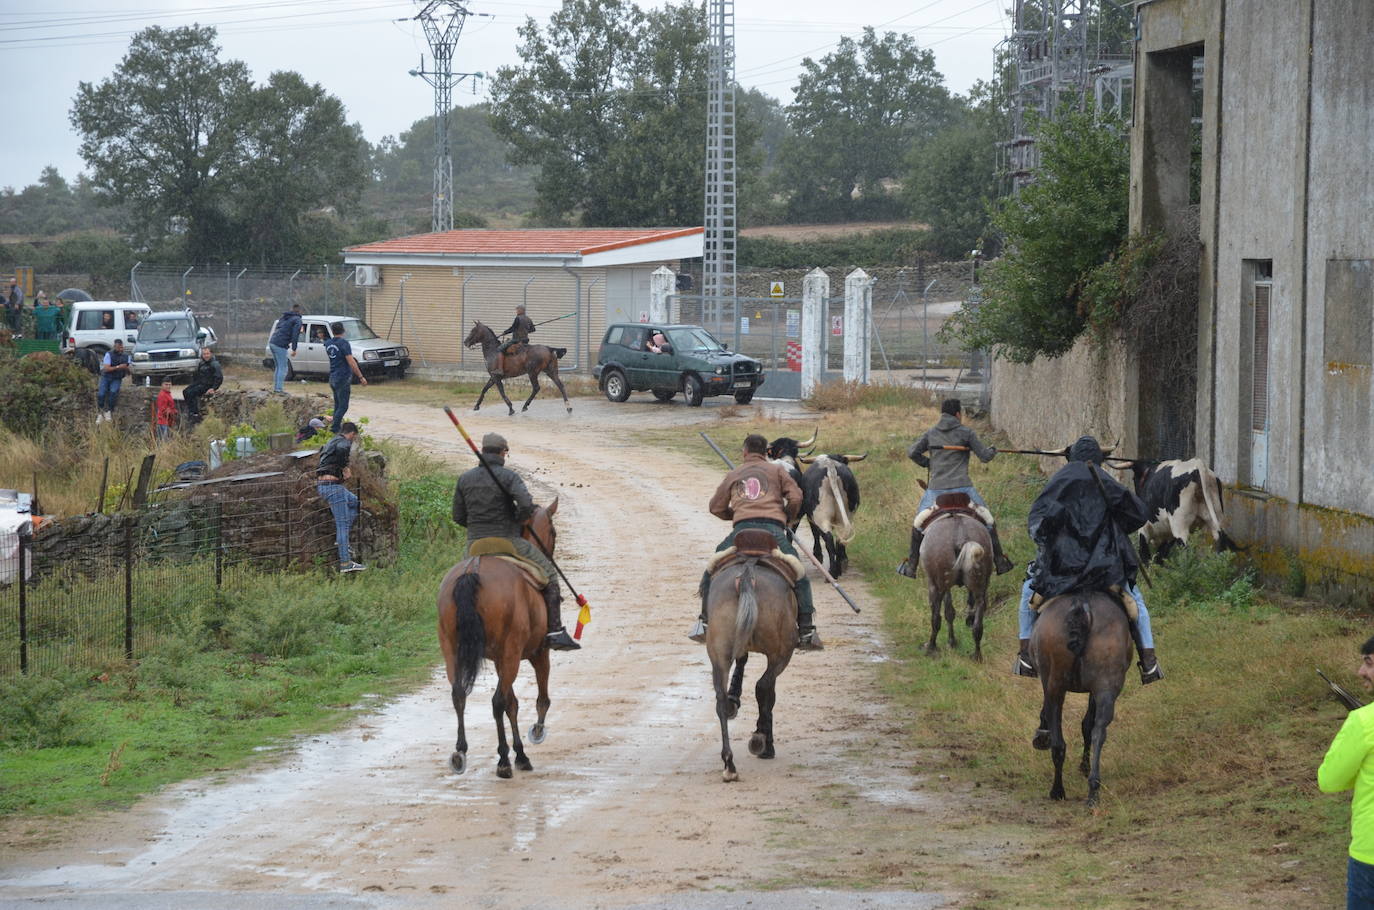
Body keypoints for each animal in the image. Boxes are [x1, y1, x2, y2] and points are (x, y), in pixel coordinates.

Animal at [431, 494, 555, 780]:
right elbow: (539, 698)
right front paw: (533, 737)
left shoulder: (502, 658)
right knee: (497, 701)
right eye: (553, 531)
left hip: (451, 648)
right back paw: (504, 761)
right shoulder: (536, 652)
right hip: (511, 653)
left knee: (459, 694)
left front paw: (519, 751)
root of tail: (471, 572)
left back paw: (460, 753)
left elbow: (513, 703)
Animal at [708, 555, 796, 786]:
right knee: (762, 686)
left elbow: (742, 660)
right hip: (781, 653)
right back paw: (760, 741)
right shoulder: (777, 657)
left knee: (720, 699)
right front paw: (766, 742)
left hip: (719, 654)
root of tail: (747, 576)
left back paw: (729, 765)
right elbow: (769, 694)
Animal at [917, 508, 994, 659]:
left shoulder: (941, 586)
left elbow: (947, 612)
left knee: (936, 618)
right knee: (978, 624)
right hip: (980, 586)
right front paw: (952, 641)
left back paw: (931, 647)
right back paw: (976, 655)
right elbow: (951, 612)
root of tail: (961, 537)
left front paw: (951, 642)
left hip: (937, 587)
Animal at [1027, 596, 1132, 808]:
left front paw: (1042, 734)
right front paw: (1084, 767)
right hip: (1105, 687)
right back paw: (1093, 790)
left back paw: (1057, 790)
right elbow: (1088, 725)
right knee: (1098, 732)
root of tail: (1082, 606)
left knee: (1059, 743)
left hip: (1056, 685)